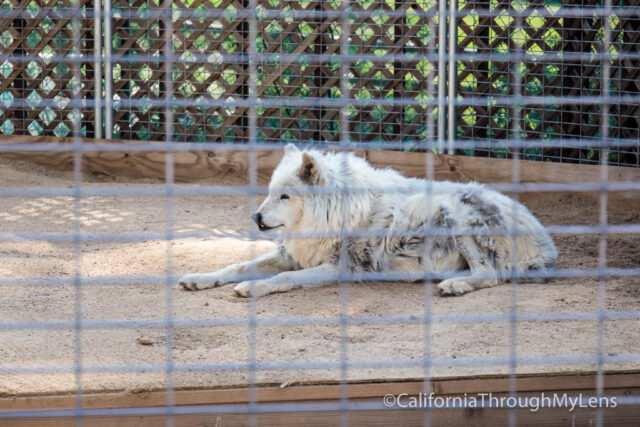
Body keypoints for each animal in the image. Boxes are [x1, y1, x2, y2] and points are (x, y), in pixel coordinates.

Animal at [179, 144, 556, 298]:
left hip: (457, 212)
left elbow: (282, 278)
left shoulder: (339, 268)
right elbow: (236, 266)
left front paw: (253, 288)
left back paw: (454, 285)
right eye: (271, 193)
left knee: (490, 275)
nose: (256, 217)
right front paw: (201, 279)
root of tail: (545, 242)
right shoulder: (292, 254)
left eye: (285, 197)